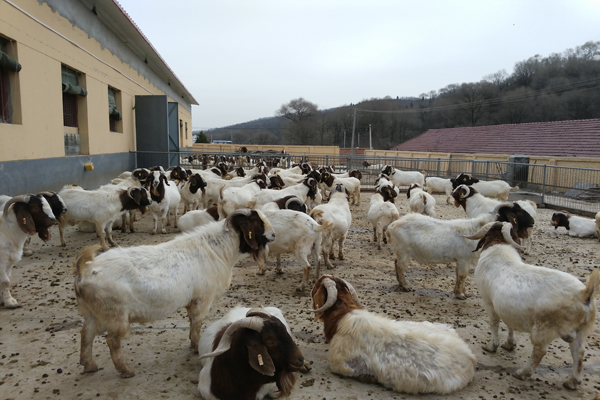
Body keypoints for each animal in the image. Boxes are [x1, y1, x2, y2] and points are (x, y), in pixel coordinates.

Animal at [72, 209, 275, 378]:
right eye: (257, 223)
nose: (273, 234)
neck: (218, 250)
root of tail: (84, 271)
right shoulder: (202, 298)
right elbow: (196, 323)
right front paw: (196, 346)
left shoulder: (192, 301)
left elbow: (192, 321)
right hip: (115, 315)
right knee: (112, 341)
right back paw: (126, 371)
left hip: (91, 312)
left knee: (86, 333)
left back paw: (89, 365)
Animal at [465, 221, 599, 389]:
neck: (498, 248)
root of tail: (584, 293)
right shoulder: (508, 308)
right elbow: (509, 324)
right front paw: (509, 344)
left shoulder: (489, 302)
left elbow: (494, 324)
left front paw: (491, 347)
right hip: (581, 331)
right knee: (579, 352)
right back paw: (571, 382)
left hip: (544, 328)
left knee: (540, 351)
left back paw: (522, 373)